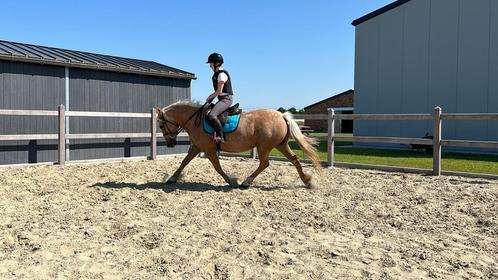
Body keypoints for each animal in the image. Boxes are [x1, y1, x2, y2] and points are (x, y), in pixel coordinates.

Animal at [155, 101, 322, 188]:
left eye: (161, 125)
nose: (170, 143)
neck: (196, 121)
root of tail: (281, 115)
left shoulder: (209, 150)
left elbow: (217, 167)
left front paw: (232, 181)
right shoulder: (196, 147)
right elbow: (184, 162)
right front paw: (172, 179)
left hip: (264, 147)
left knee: (264, 163)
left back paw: (246, 182)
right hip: (280, 145)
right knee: (294, 159)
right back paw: (307, 181)